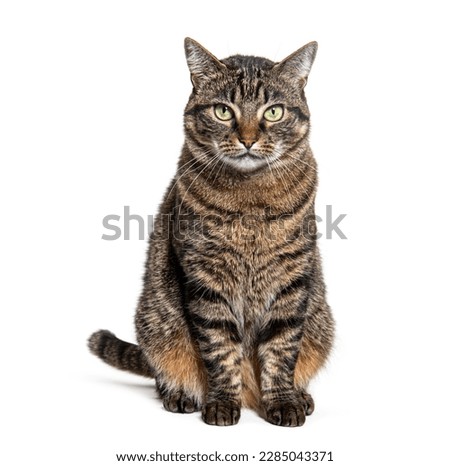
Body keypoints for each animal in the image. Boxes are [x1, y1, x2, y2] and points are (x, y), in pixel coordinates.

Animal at [88, 39, 334, 426]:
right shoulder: (205, 278)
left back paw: (301, 394)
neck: (250, 201)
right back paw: (180, 394)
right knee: (163, 370)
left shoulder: (291, 278)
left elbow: (281, 348)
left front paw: (283, 399)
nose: (247, 139)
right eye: (222, 111)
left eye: (273, 112)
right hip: (157, 324)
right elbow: (220, 349)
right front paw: (221, 402)